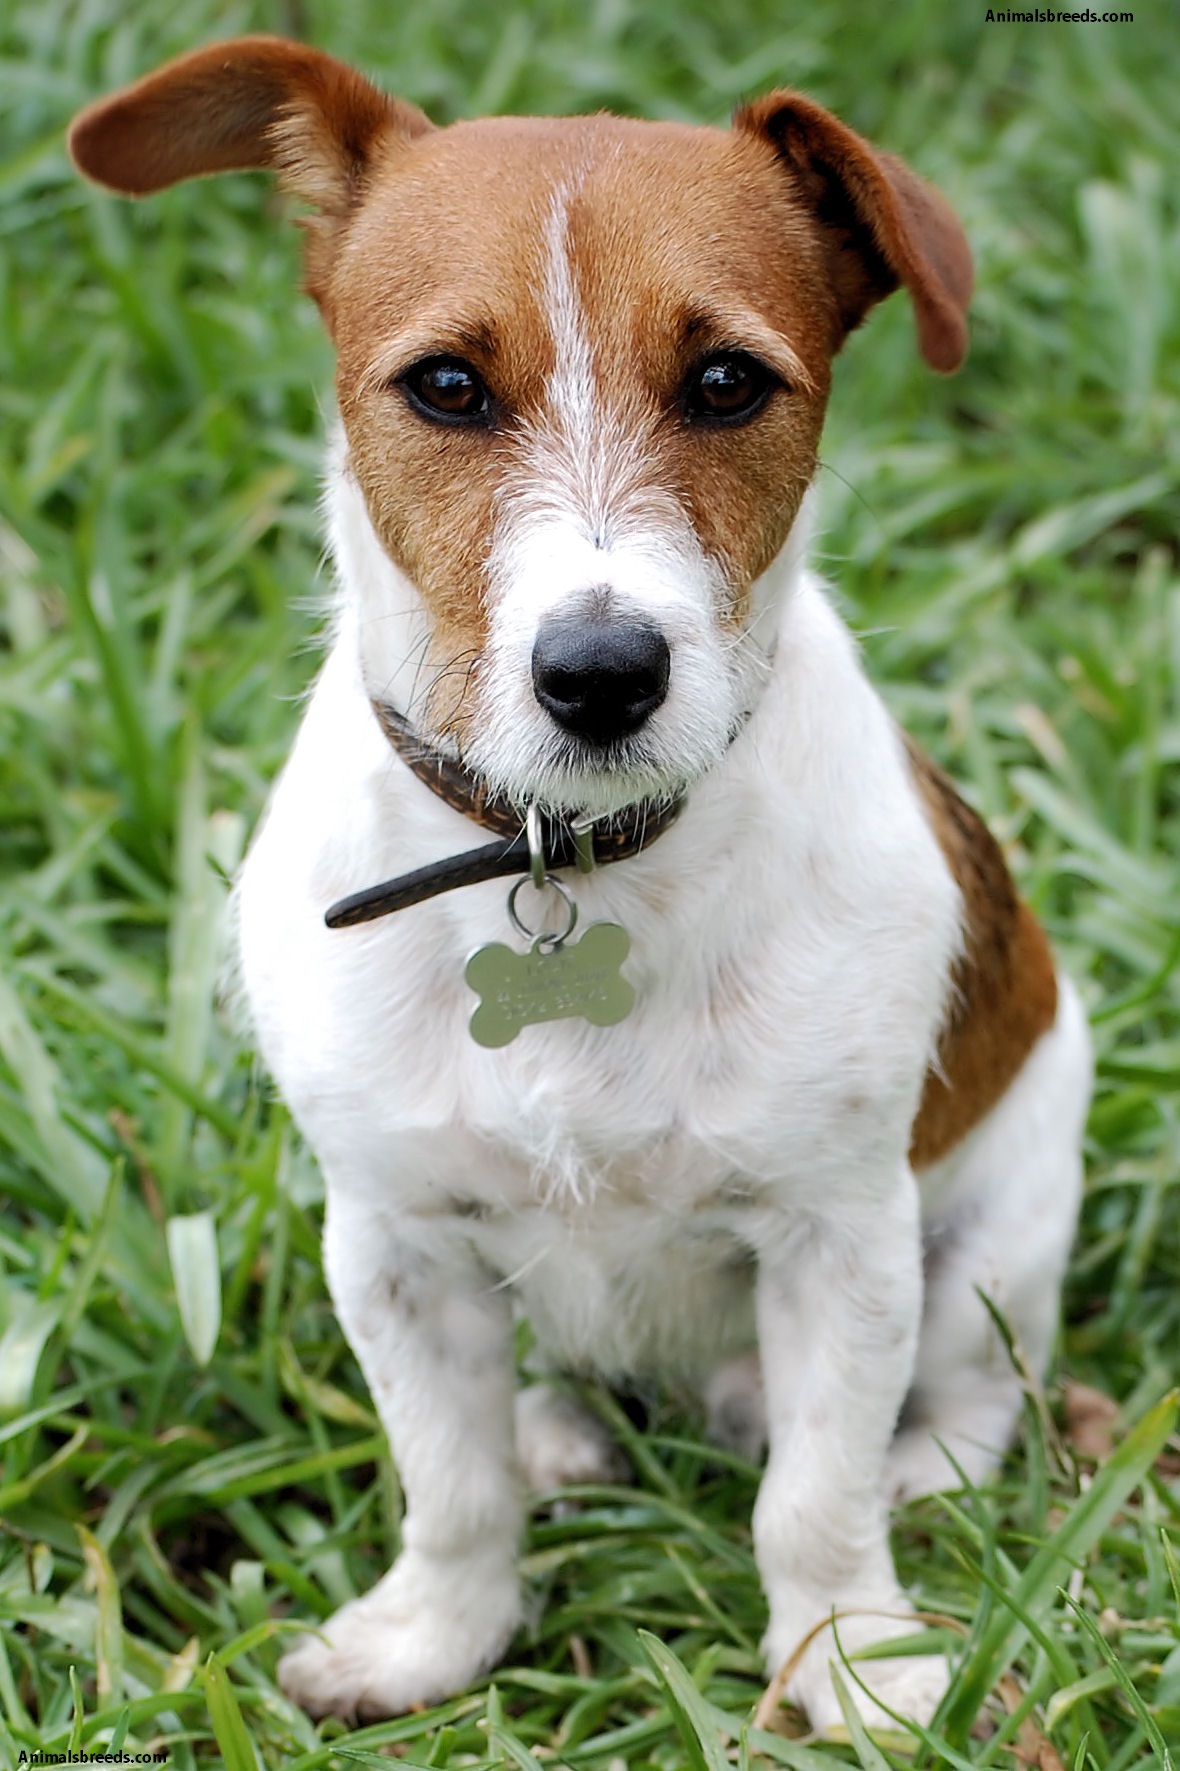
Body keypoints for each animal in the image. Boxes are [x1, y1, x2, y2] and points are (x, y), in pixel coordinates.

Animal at [69, 38, 1091, 1728]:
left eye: (729, 382)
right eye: (446, 386)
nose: (601, 674)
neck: (568, 858)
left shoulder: (841, 1238)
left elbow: (815, 1493)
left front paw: (848, 1655)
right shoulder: (394, 1238)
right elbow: (451, 1480)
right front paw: (436, 1633)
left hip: (1006, 1226)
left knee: (968, 1384)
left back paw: (927, 1463)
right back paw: (556, 1430)